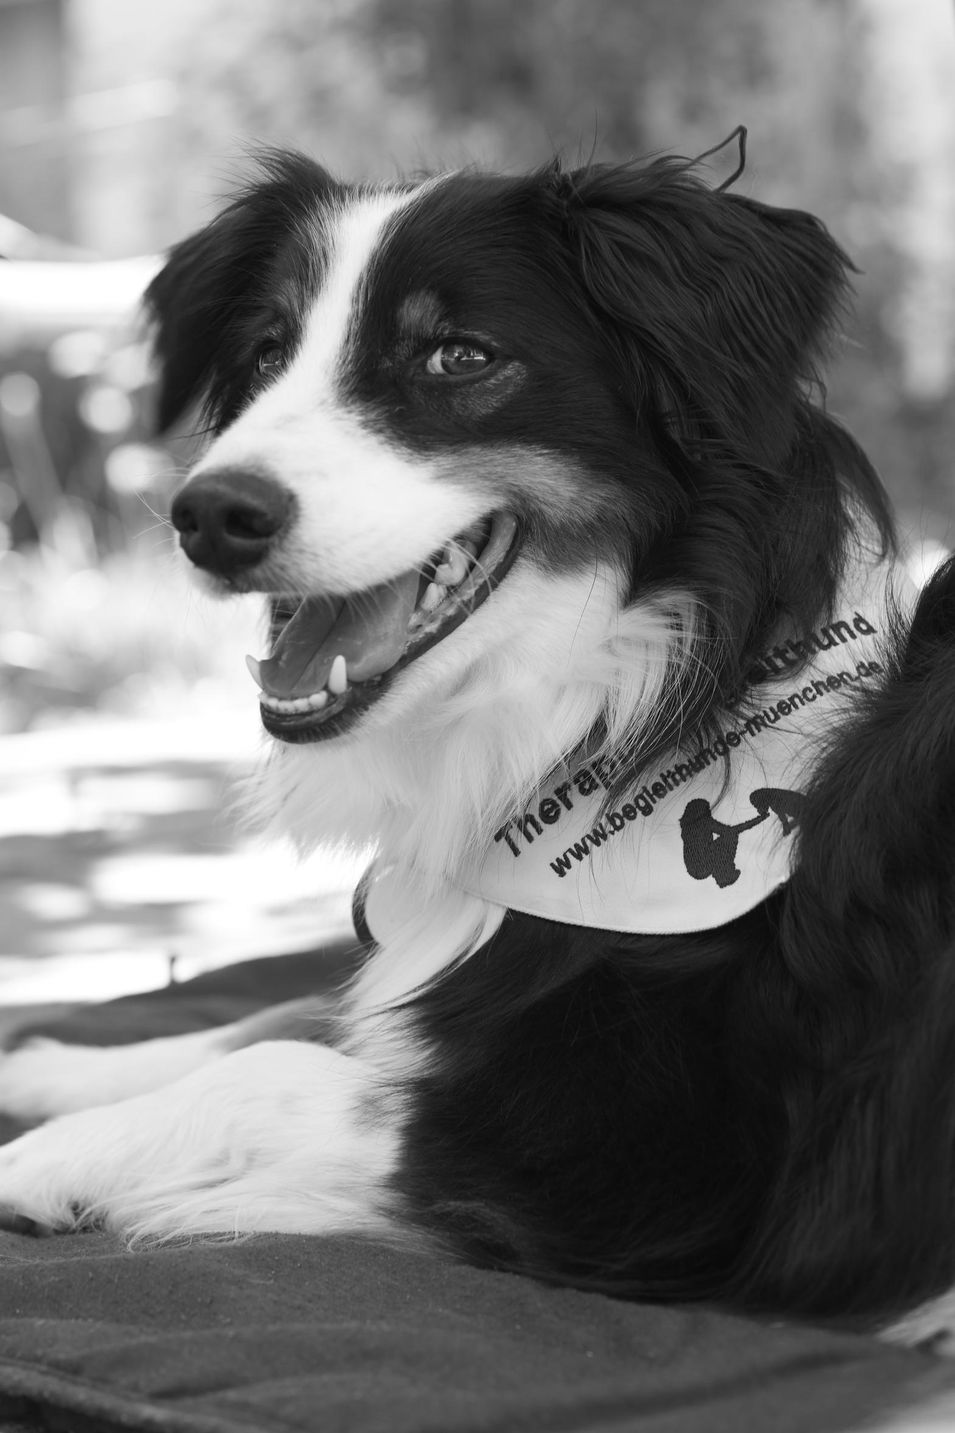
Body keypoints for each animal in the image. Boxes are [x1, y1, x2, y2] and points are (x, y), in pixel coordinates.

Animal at [1, 134, 952, 1329]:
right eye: (266, 353)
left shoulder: (671, 1163)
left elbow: (281, 1066)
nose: (210, 516)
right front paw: (51, 1064)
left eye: (458, 356)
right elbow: (295, 1008)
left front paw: (41, 1156)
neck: (622, 711)